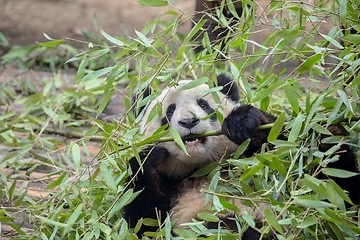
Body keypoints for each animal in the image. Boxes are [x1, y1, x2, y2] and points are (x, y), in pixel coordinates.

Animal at [123, 74, 358, 239]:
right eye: (169, 112)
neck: (202, 168)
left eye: (203, 105)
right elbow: (145, 222)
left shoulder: (261, 158)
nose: (188, 122)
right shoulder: (171, 186)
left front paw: (243, 122)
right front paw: (148, 158)